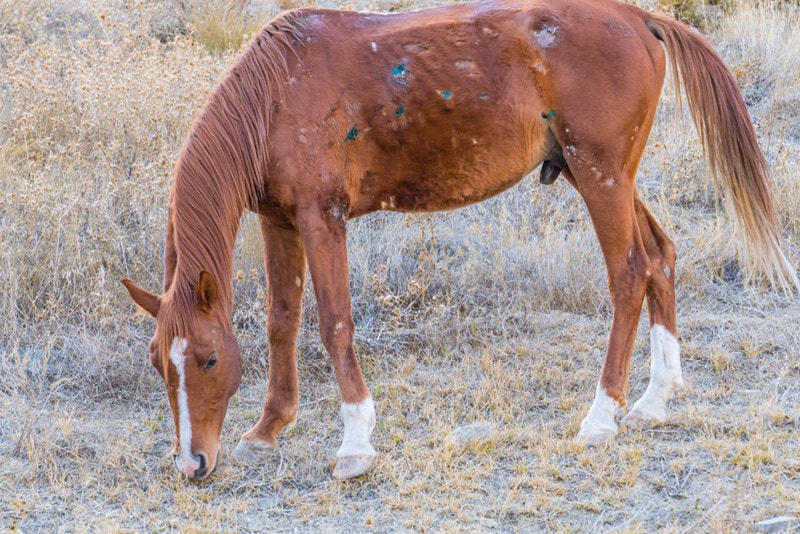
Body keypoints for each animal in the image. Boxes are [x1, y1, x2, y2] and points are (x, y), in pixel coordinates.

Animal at [120, 0, 800, 482]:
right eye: (158, 362)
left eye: (208, 360)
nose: (192, 466)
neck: (276, 93)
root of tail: (637, 17)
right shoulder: (279, 220)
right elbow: (282, 320)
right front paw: (268, 428)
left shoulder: (322, 218)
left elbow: (334, 323)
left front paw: (355, 445)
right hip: (602, 175)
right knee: (660, 257)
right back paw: (655, 400)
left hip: (601, 176)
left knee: (630, 274)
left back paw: (602, 416)